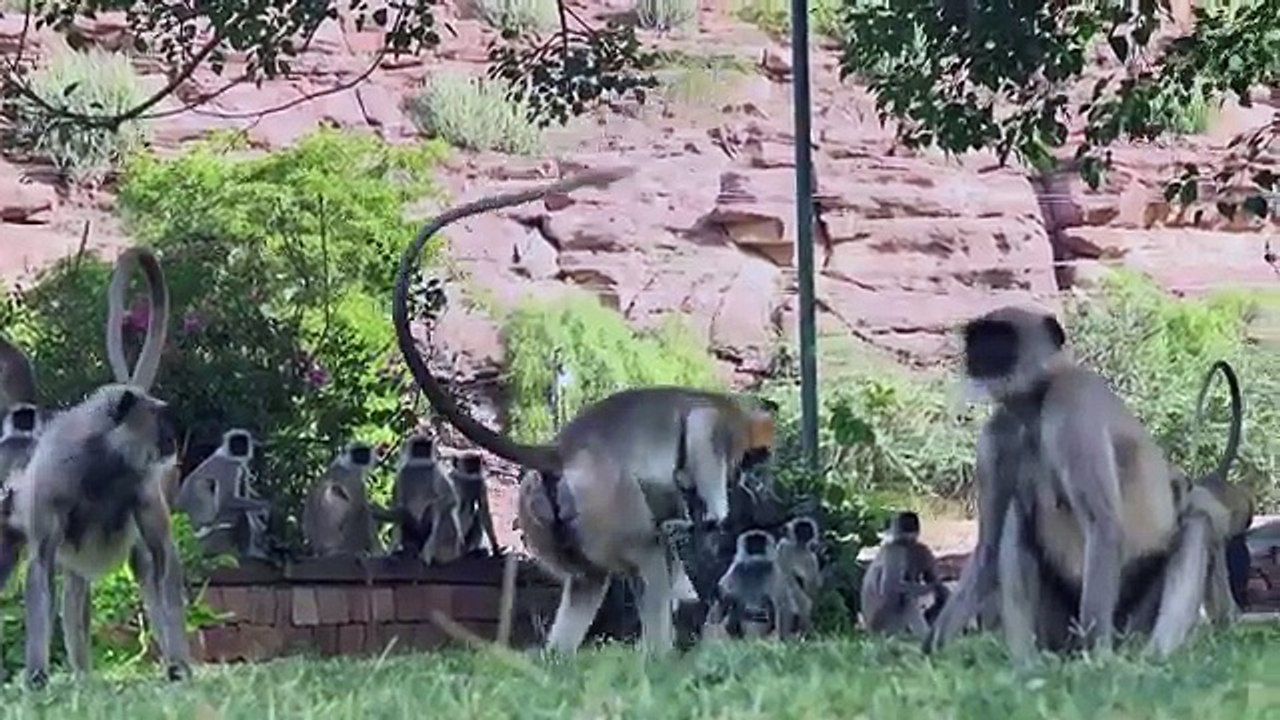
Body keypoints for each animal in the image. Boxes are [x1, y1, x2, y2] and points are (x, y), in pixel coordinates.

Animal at [391, 166, 777, 655]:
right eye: (758, 456)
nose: (756, 475)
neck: (740, 412)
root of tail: (561, 450)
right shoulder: (722, 424)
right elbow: (700, 434)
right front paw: (717, 514)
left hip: (544, 514)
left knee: (588, 580)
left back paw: (560, 656)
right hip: (603, 500)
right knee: (647, 554)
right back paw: (661, 654)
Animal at [923, 305, 1246, 662]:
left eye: (1001, 337)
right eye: (978, 337)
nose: (978, 354)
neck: (1035, 405)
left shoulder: (1071, 403)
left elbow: (1102, 524)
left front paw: (1097, 660)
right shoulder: (996, 438)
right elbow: (989, 548)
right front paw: (934, 648)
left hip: (1131, 621)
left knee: (1196, 523)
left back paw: (1151, 656)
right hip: (1058, 625)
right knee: (1016, 517)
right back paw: (1027, 661)